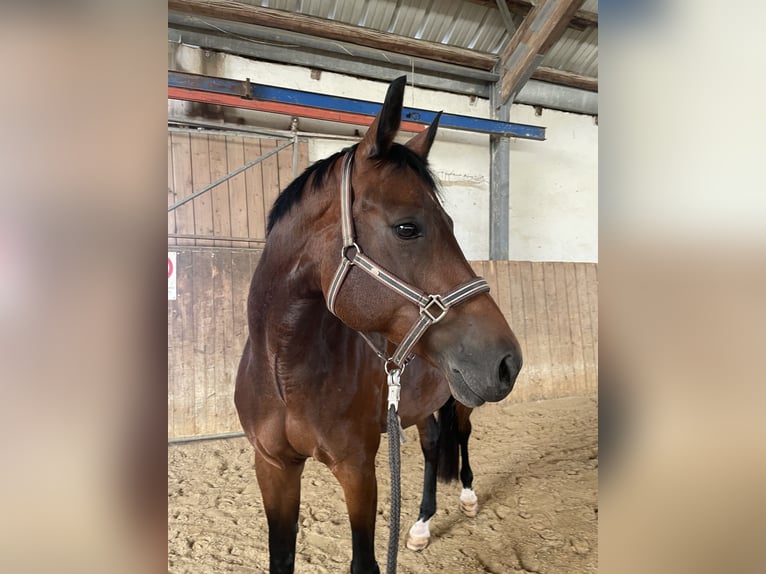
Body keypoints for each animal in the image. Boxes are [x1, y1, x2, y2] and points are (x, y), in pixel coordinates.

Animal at [235, 75, 522, 574]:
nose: (508, 361)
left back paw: (466, 497)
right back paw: (422, 524)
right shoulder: (272, 466)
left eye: (451, 223)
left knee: (461, 437)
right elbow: (281, 557)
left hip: (460, 400)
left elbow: (364, 562)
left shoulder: (357, 469)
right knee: (432, 447)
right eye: (407, 227)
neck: (286, 371)